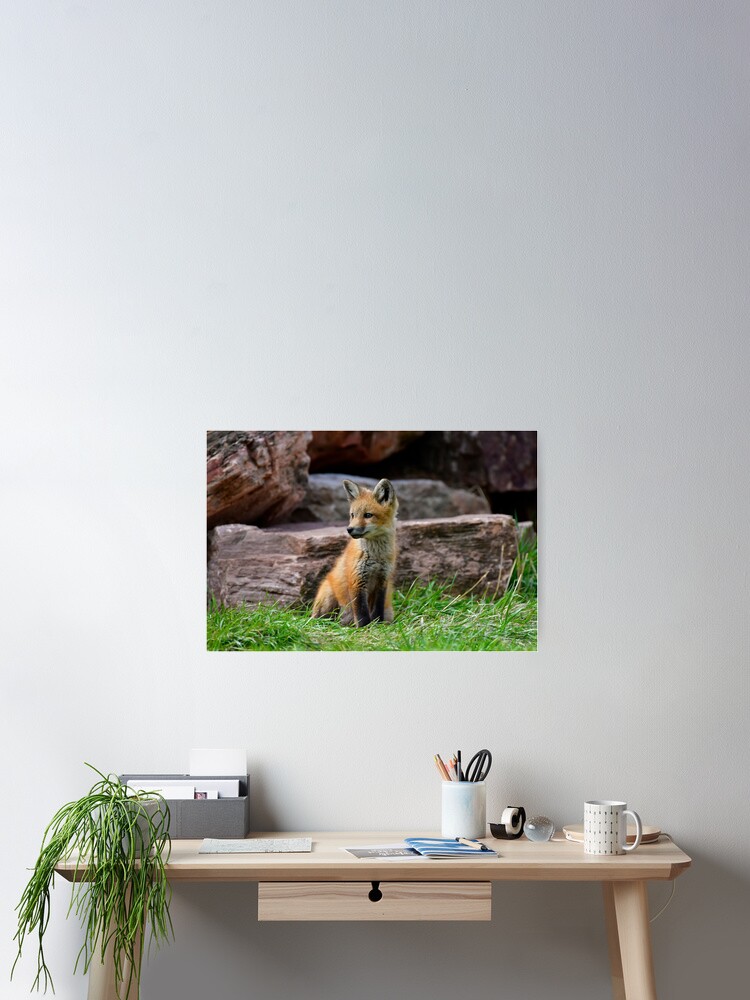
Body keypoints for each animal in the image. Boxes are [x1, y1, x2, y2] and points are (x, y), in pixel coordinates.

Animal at [311, 479, 398, 626]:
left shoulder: (382, 580)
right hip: (328, 598)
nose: (349, 529)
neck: (376, 556)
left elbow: (377, 609)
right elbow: (362, 612)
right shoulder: (357, 579)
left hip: (389, 612)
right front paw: (365, 628)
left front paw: (377, 625)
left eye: (368, 515)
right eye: (353, 515)